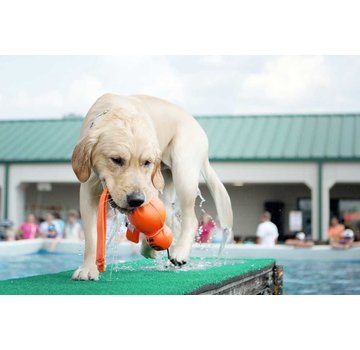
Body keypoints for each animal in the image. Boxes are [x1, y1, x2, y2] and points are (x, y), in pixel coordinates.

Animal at [72, 93, 233, 278]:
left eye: (147, 162)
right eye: (116, 160)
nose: (136, 200)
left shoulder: (149, 188)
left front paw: (150, 248)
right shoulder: (88, 188)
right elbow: (91, 235)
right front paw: (87, 269)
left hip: (183, 170)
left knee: (190, 219)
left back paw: (179, 253)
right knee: (173, 220)